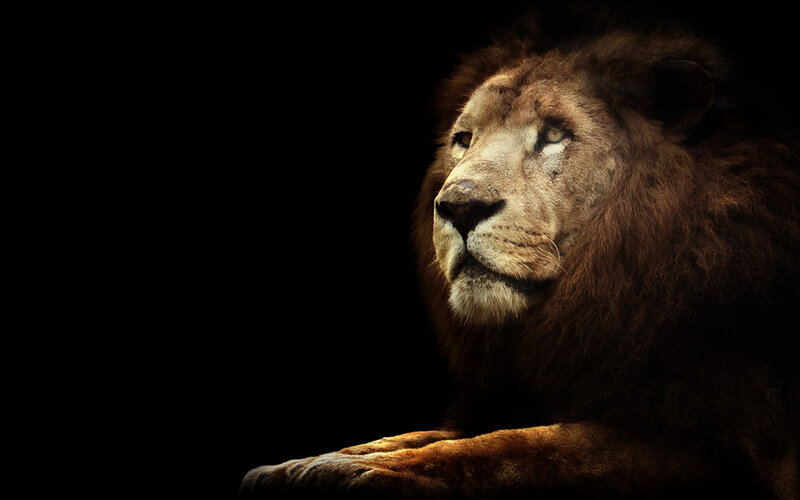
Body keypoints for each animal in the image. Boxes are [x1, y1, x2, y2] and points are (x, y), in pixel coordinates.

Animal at [241, 6, 800, 499]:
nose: (459, 207)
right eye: (464, 139)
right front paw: (311, 461)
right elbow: (424, 435)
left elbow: (514, 449)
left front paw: (355, 473)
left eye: (554, 134)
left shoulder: (715, 446)